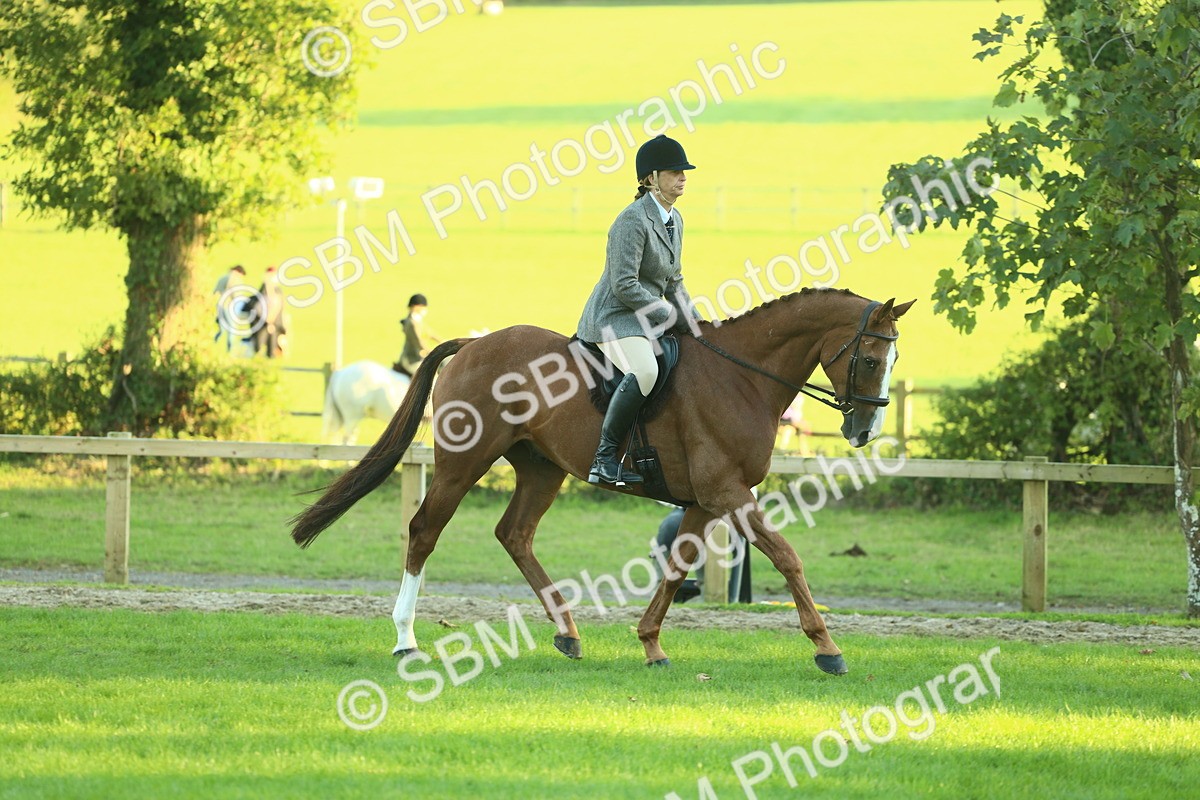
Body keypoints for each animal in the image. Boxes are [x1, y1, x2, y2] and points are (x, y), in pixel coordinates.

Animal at [291, 288, 914, 675]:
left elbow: (677, 567)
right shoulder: (728, 494)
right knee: (424, 531)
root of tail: (473, 343)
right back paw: (405, 639)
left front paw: (651, 644)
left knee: (515, 534)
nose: (863, 430)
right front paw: (827, 648)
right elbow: (787, 557)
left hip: (541, 468)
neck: (742, 377)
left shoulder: (706, 500)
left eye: (891, 359)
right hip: (463, 462)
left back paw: (568, 632)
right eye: (868, 359)